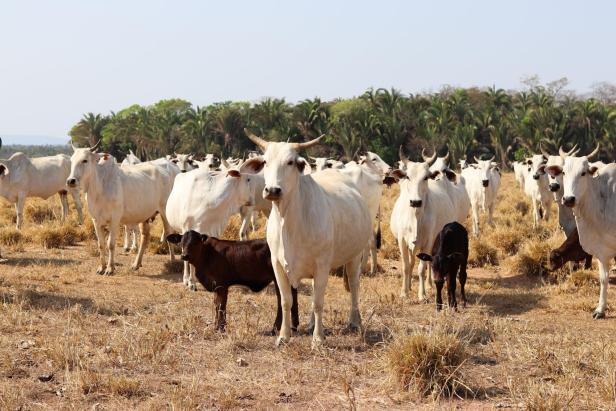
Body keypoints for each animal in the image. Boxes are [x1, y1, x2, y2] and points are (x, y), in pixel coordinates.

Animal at [68, 146, 174, 276]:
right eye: (71, 160)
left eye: (85, 160)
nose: (71, 181)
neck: (99, 188)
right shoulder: (96, 221)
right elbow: (101, 244)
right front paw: (101, 267)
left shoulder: (114, 220)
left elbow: (111, 244)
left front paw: (110, 268)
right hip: (144, 216)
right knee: (145, 237)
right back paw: (136, 264)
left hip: (165, 212)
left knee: (168, 233)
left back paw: (172, 261)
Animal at [165, 159, 262, 292]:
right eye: (248, 179)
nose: (253, 200)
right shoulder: (187, 231)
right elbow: (189, 260)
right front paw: (191, 282)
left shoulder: (213, 232)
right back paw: (185, 279)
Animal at [244, 129, 370, 348]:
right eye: (266, 162)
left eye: (290, 162)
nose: (272, 190)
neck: (288, 222)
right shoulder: (278, 265)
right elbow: (287, 301)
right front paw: (283, 336)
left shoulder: (322, 264)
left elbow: (319, 302)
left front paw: (318, 339)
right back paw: (311, 324)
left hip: (355, 255)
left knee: (354, 286)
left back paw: (355, 322)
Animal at [548, 145, 612, 318]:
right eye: (563, 172)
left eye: (583, 173)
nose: (569, 199)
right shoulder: (601, 249)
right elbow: (603, 278)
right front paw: (600, 309)